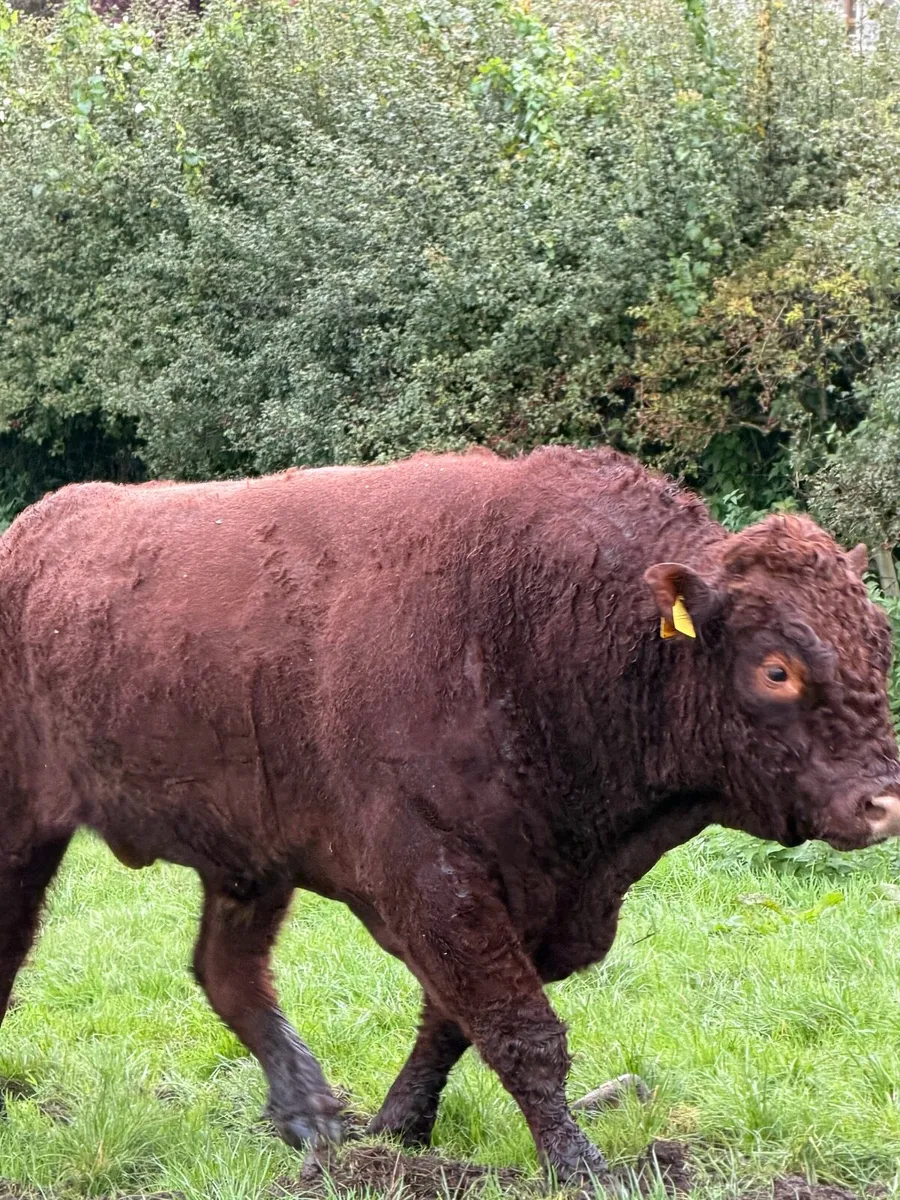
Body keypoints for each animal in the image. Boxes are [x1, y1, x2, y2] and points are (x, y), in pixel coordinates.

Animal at [0, 445, 898, 1187]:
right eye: (776, 669)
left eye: (879, 643)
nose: (882, 801)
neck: (554, 624)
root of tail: (26, 539)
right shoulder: (434, 877)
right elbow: (520, 1030)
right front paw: (583, 1167)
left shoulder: (531, 894)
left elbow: (453, 1022)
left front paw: (395, 1130)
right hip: (26, 828)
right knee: (20, 948)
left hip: (247, 856)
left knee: (228, 972)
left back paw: (312, 1116)